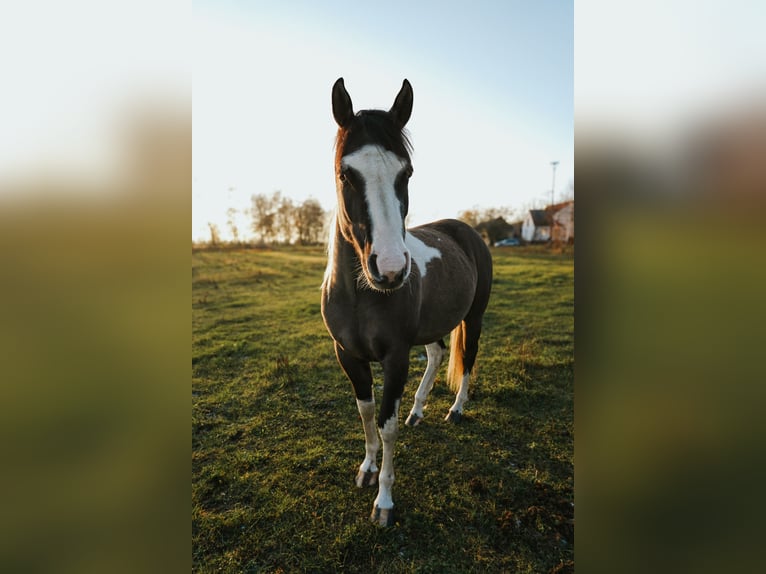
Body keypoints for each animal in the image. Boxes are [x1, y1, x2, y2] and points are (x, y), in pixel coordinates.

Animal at [321, 78, 493, 526]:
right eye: (345, 173)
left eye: (407, 172)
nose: (392, 269)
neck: (359, 295)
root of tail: (465, 230)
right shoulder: (348, 355)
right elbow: (366, 413)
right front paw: (366, 469)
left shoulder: (396, 357)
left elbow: (387, 425)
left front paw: (383, 501)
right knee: (436, 354)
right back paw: (419, 410)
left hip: (474, 317)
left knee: (468, 357)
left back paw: (456, 409)